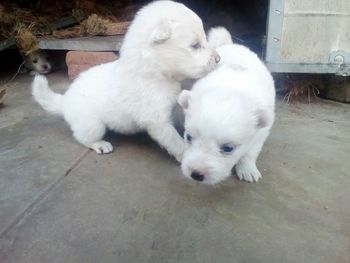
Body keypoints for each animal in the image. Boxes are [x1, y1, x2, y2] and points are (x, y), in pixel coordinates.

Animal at [32, 0, 219, 163]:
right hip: (92, 125)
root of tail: (65, 100)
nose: (219, 58)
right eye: (195, 45)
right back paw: (100, 145)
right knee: (82, 137)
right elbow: (174, 141)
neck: (152, 71)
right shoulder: (157, 121)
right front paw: (187, 155)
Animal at [179, 26, 274, 184]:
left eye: (228, 148)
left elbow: (250, 152)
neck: (231, 87)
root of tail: (230, 44)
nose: (196, 174)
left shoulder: (261, 132)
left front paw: (248, 169)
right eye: (189, 137)